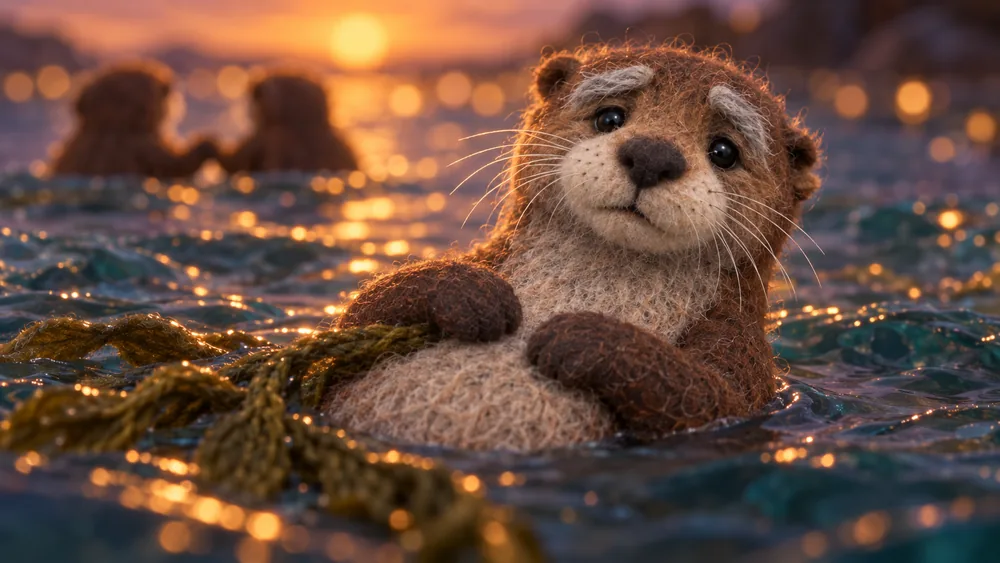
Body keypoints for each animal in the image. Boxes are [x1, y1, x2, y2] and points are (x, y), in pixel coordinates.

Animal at [324, 45, 822, 451]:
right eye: (610, 117)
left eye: (724, 151)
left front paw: (579, 337)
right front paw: (472, 294)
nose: (652, 154)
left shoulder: (742, 353)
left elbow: (709, 395)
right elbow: (359, 314)